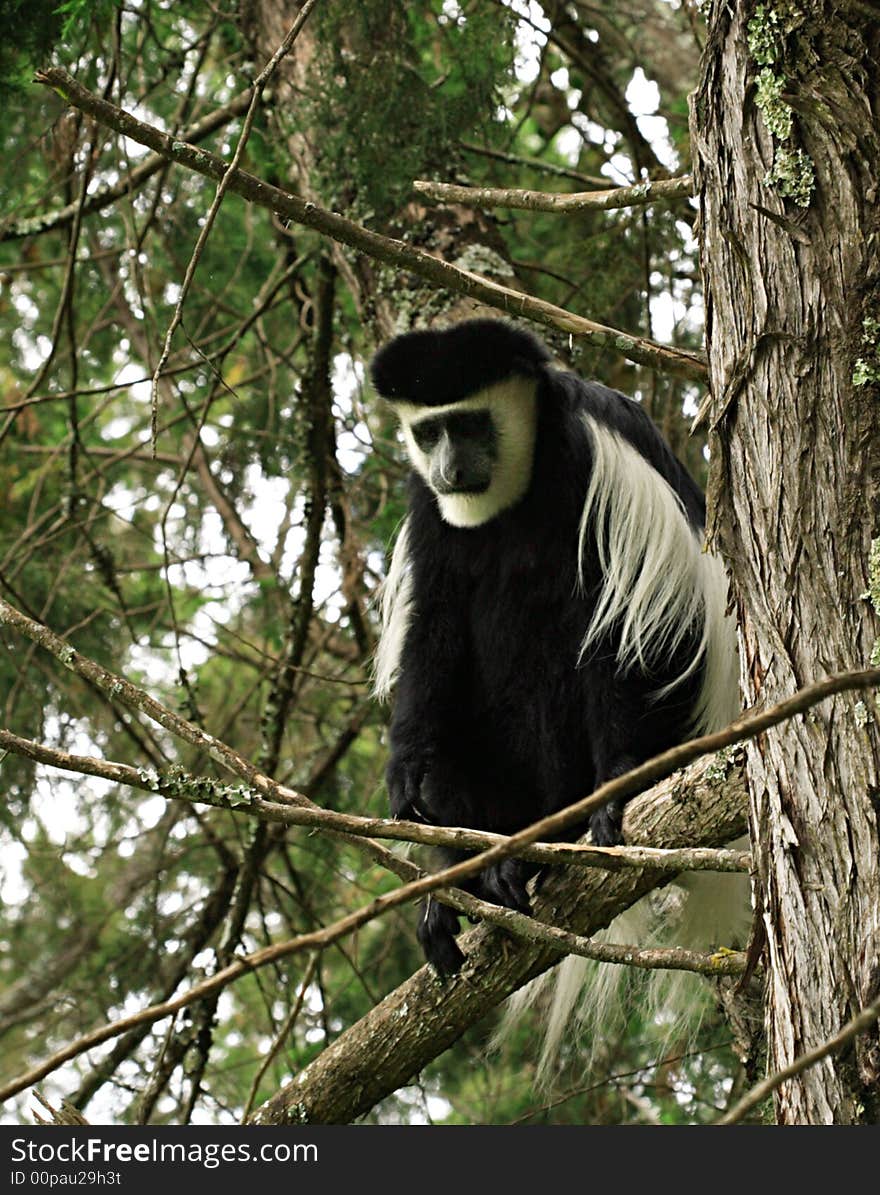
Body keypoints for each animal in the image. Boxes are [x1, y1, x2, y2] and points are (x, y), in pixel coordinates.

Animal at [368, 317, 741, 970]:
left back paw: (543, 847)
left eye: (471, 424)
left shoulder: (590, 455)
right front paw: (408, 770)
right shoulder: (428, 503)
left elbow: (627, 622)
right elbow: (434, 624)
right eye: (429, 431)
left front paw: (617, 792)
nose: (451, 470)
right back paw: (470, 883)